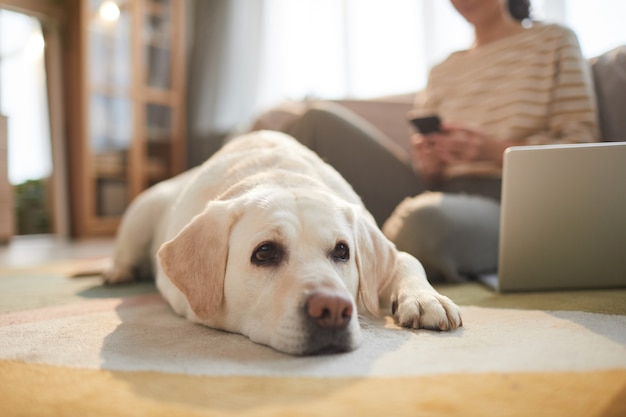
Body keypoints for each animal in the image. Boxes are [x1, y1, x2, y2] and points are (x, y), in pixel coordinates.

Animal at [103, 131, 458, 354]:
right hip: (141, 211)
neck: (278, 174)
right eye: (264, 253)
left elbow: (409, 260)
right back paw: (117, 271)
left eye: (342, 251)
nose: (332, 309)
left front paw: (427, 299)